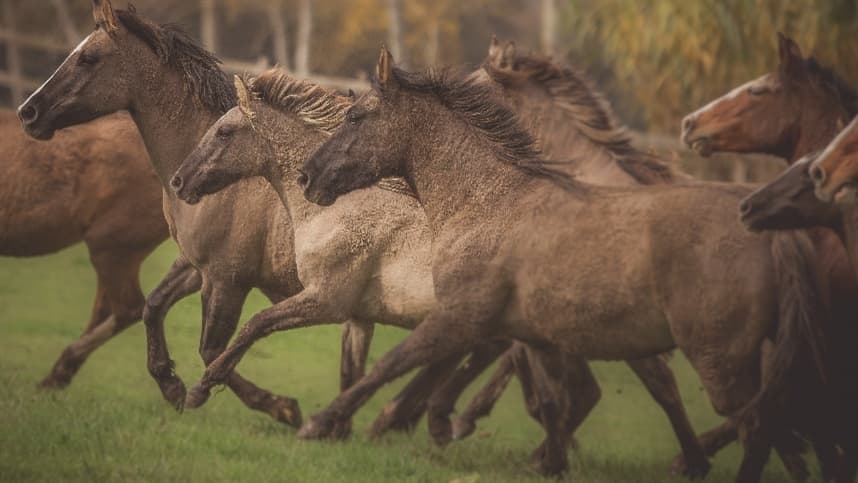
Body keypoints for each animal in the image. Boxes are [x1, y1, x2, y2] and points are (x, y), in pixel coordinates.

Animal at [300, 48, 825, 481]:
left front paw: (323, 422)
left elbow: (391, 363)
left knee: (760, 426)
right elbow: (553, 401)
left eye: (355, 115)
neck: (488, 200)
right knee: (780, 429)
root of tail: (769, 233)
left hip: (722, 362)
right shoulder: (537, 336)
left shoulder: (459, 316)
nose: (308, 176)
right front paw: (550, 462)